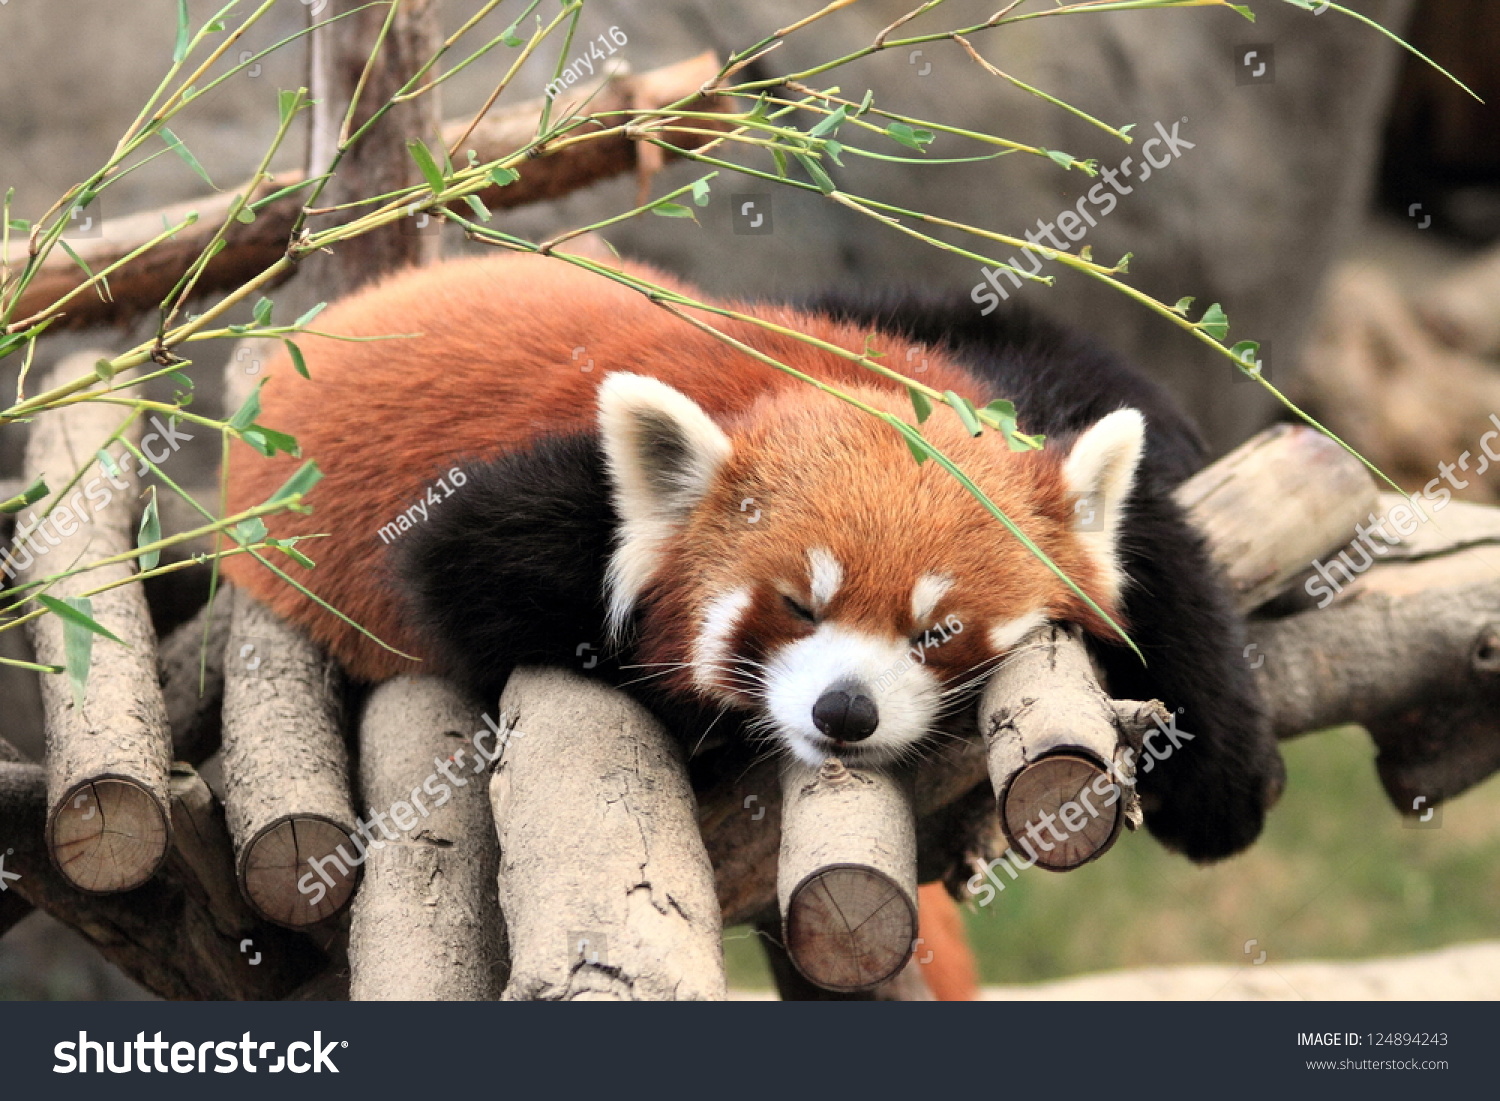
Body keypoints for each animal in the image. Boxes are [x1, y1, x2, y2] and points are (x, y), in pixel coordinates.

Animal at [222, 252, 1278, 870]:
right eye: (799, 607)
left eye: (937, 630)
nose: (845, 711)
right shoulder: (506, 518)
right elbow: (473, 587)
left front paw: (1224, 772)